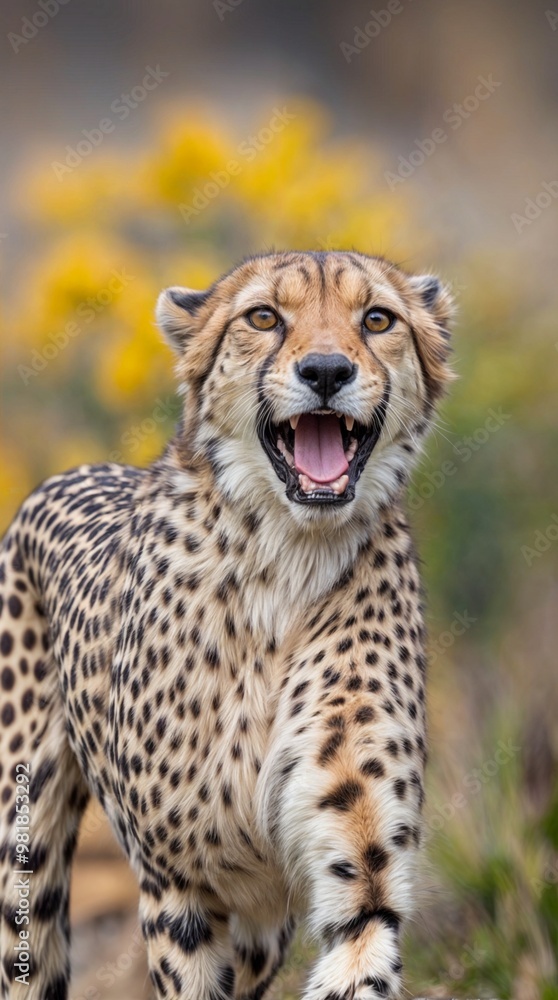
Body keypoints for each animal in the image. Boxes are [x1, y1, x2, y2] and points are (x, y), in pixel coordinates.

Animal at [0, 250, 454, 1000]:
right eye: (263, 317)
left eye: (378, 319)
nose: (325, 371)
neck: (288, 559)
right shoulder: (177, 883)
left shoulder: (362, 877)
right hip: (23, 850)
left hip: (264, 925)